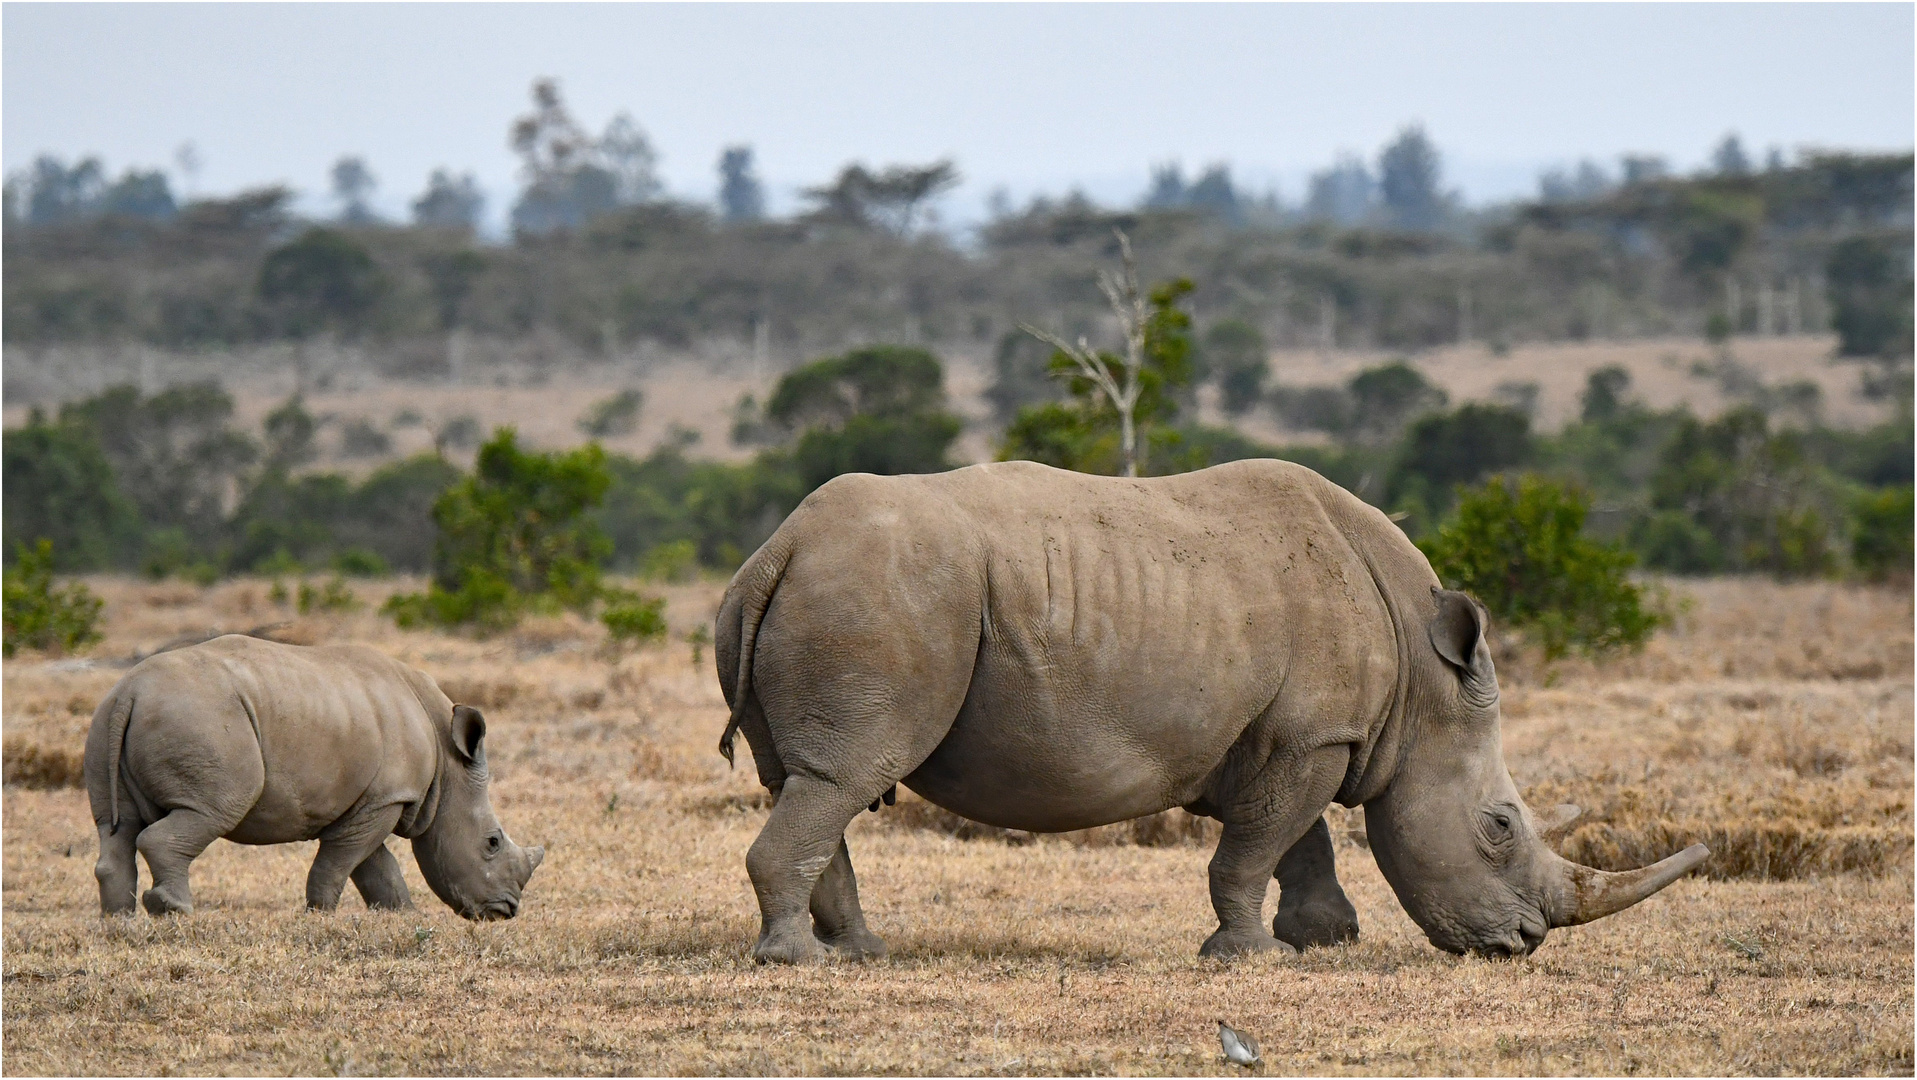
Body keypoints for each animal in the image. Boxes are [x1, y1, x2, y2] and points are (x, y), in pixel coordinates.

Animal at [86, 636, 544, 924]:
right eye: (492, 842)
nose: (506, 911)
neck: (449, 766)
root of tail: (131, 691)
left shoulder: (369, 800)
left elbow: (374, 865)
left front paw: (401, 915)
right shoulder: (386, 798)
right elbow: (343, 861)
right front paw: (320, 916)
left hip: (107, 719)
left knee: (116, 826)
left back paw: (119, 922)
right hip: (200, 719)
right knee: (213, 809)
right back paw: (175, 911)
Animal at [720, 456, 1709, 962]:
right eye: (1498, 826)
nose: (1524, 943)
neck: (1423, 689)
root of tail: (781, 547)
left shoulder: (1296, 734)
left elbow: (1293, 840)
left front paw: (1324, 942)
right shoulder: (1313, 735)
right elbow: (1258, 845)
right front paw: (1249, 956)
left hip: (826, 592)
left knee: (813, 782)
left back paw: (863, 953)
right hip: (882, 597)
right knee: (847, 775)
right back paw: (802, 961)